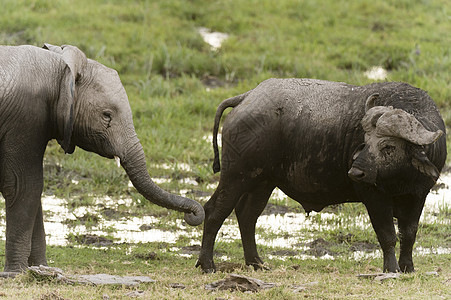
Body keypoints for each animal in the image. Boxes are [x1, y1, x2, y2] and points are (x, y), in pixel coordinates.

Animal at [0, 43, 205, 276]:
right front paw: (16, 273)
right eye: (106, 115)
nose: (193, 215)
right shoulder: (26, 118)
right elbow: (23, 186)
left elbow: (34, 190)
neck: (60, 68)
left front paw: (41, 268)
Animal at [196, 78, 446, 274]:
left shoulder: (418, 196)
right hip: (236, 176)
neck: (400, 178)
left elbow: (409, 234)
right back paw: (207, 264)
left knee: (247, 215)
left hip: (263, 182)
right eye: (366, 141)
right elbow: (388, 235)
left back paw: (256, 262)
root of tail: (246, 97)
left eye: (388, 146)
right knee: (215, 211)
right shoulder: (374, 197)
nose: (356, 171)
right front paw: (391, 269)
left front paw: (408, 267)